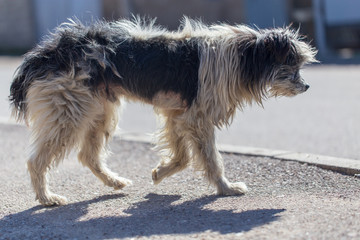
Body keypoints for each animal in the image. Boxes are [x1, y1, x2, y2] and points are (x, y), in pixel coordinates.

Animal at [9, 16, 318, 205]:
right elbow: (211, 159)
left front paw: (160, 172)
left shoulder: (177, 114)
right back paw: (47, 198)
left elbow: (183, 156)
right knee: (36, 160)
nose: (307, 86)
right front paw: (226, 188)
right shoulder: (197, 118)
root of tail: (47, 51)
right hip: (68, 113)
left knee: (88, 155)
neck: (244, 58)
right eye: (292, 64)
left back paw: (114, 181)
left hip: (100, 111)